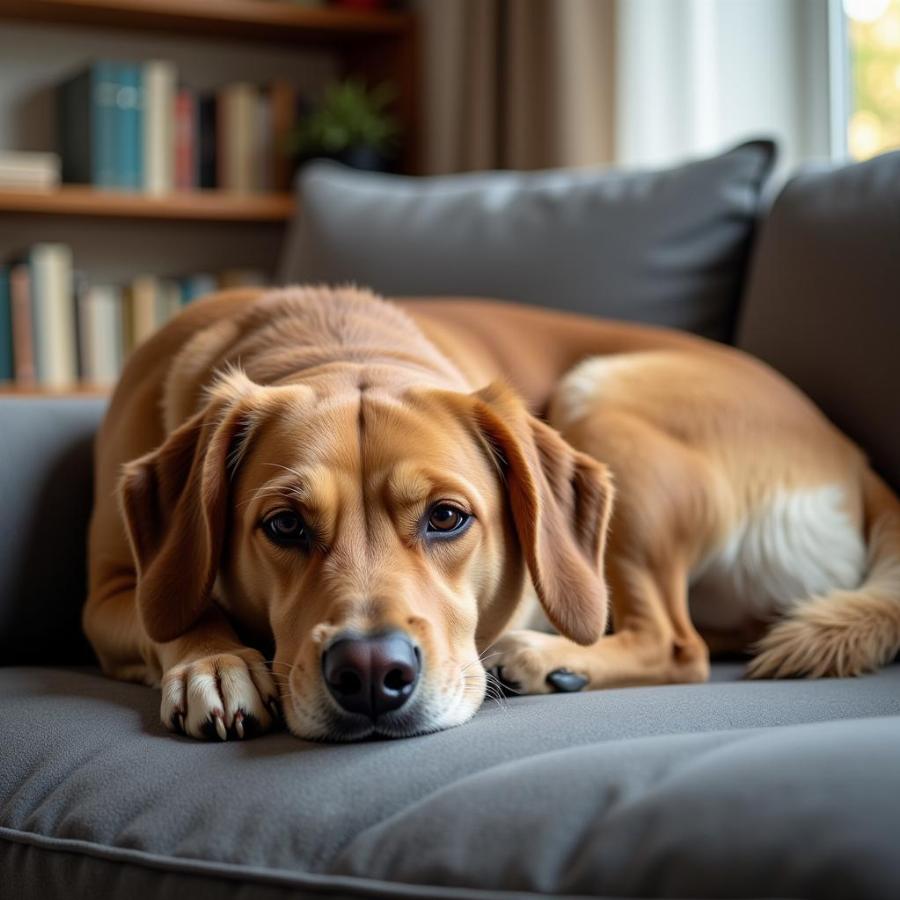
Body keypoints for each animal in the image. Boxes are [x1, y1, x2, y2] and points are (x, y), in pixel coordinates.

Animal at [84, 286, 900, 740]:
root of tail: (855, 459)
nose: (371, 672)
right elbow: (178, 610)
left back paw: (545, 658)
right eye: (284, 526)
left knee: (678, 644)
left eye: (447, 517)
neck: (328, 337)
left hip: (601, 396)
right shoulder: (109, 595)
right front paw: (216, 663)